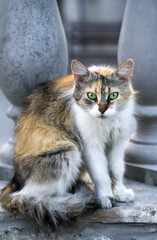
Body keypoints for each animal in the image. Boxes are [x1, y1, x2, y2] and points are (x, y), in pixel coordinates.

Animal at [0, 59, 136, 228]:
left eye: (113, 95)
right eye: (91, 96)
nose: (102, 110)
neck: (106, 124)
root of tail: (15, 179)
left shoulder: (117, 144)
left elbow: (116, 172)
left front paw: (120, 193)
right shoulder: (91, 147)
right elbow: (101, 175)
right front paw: (105, 197)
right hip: (68, 152)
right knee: (30, 194)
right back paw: (74, 198)